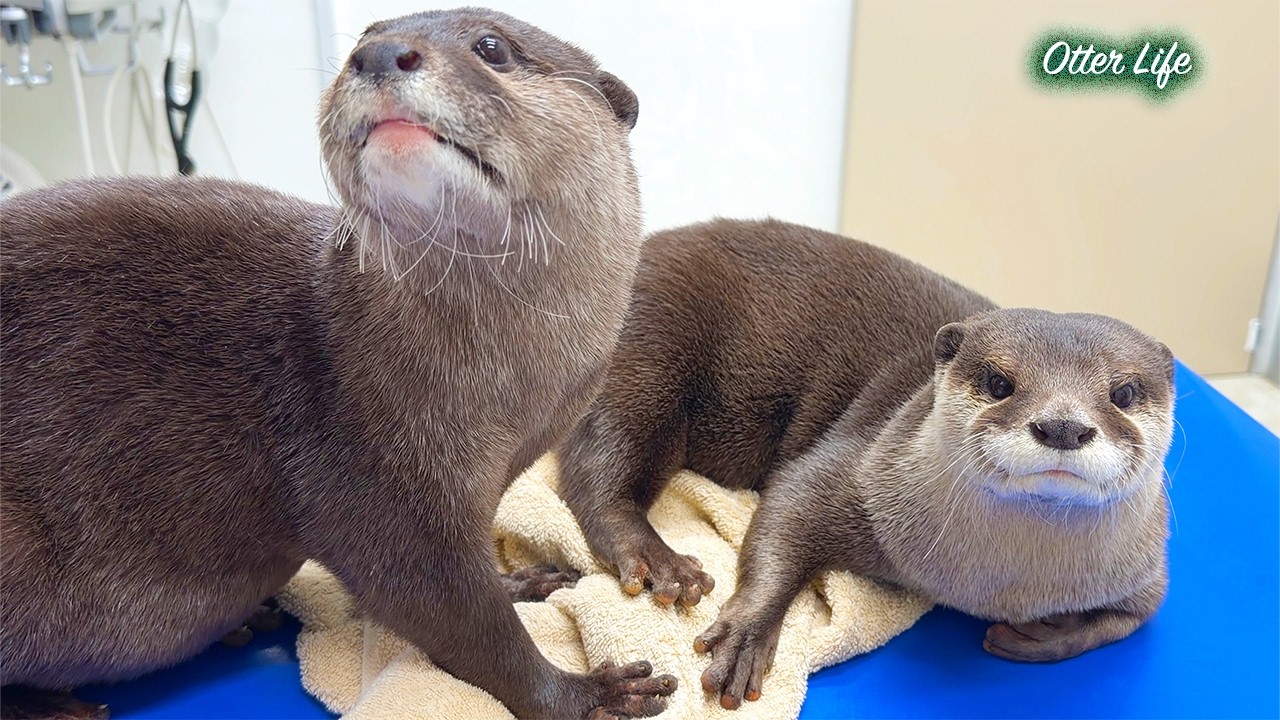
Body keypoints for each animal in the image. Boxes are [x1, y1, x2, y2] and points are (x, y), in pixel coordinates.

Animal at [1, 8, 675, 720]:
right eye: (363, 38)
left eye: (492, 46)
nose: (379, 53)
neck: (509, 394)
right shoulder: (370, 477)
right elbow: (455, 615)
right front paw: (592, 692)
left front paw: (522, 576)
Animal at [556, 219, 1173, 709]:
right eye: (1000, 382)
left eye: (1122, 392)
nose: (1063, 426)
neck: (993, 585)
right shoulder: (865, 468)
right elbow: (791, 504)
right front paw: (745, 636)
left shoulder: (1142, 568)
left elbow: (1128, 621)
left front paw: (1043, 637)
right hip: (649, 344)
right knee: (598, 463)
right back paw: (657, 560)